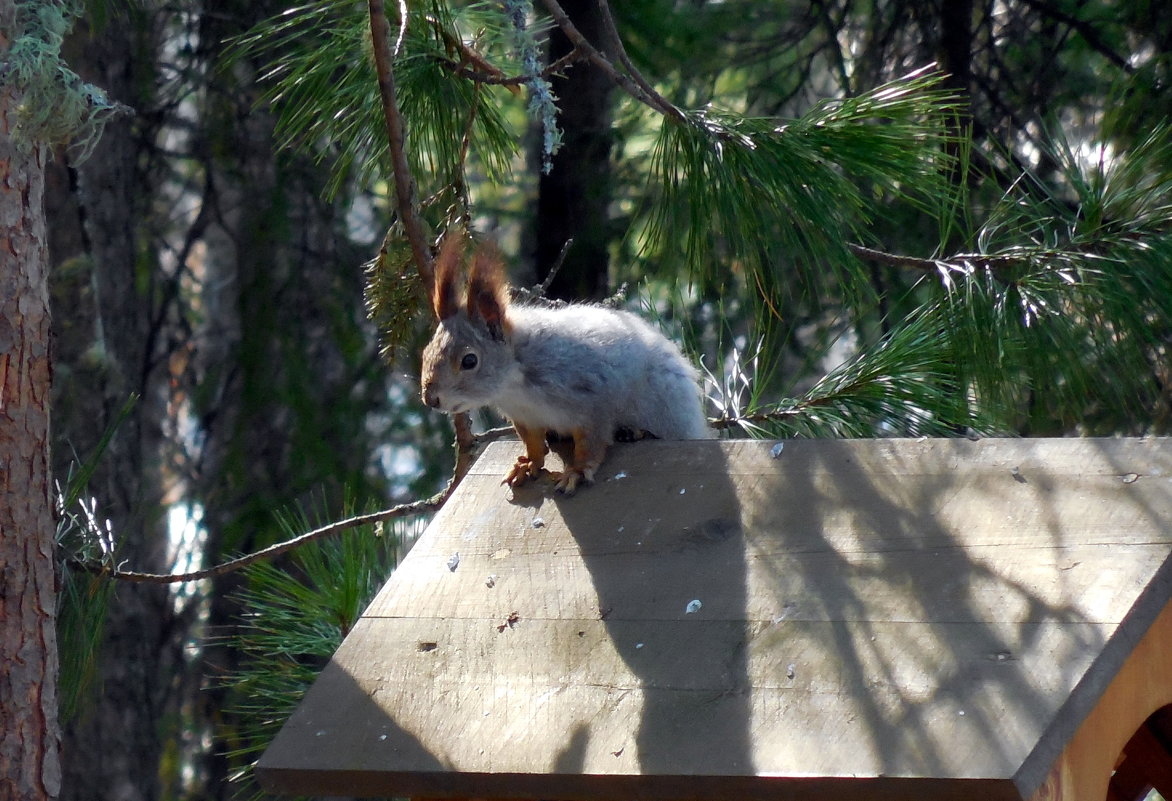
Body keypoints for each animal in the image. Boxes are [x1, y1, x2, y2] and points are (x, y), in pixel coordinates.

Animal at [421, 233, 712, 494]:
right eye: (425, 353)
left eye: (470, 360)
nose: (430, 399)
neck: (515, 385)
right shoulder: (525, 417)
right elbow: (533, 444)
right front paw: (528, 465)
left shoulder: (591, 398)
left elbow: (591, 441)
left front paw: (577, 472)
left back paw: (635, 432)